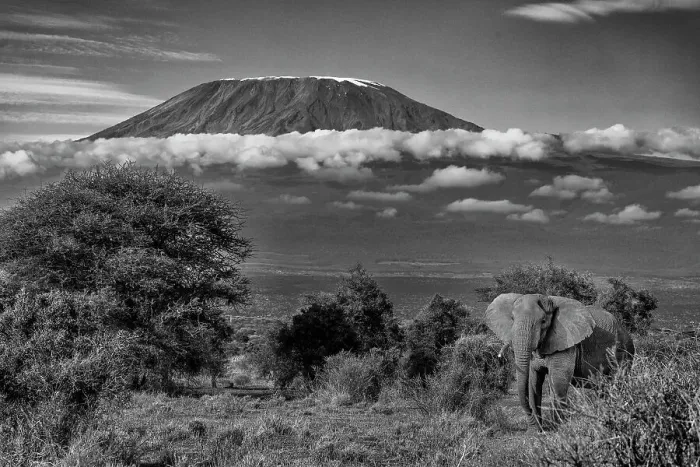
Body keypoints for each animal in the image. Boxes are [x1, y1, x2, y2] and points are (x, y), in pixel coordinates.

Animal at [485, 293, 634, 430]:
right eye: (512, 318)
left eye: (543, 321)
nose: (535, 425)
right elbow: (534, 382)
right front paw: (537, 431)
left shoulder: (566, 342)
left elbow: (558, 382)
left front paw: (558, 428)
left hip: (624, 352)